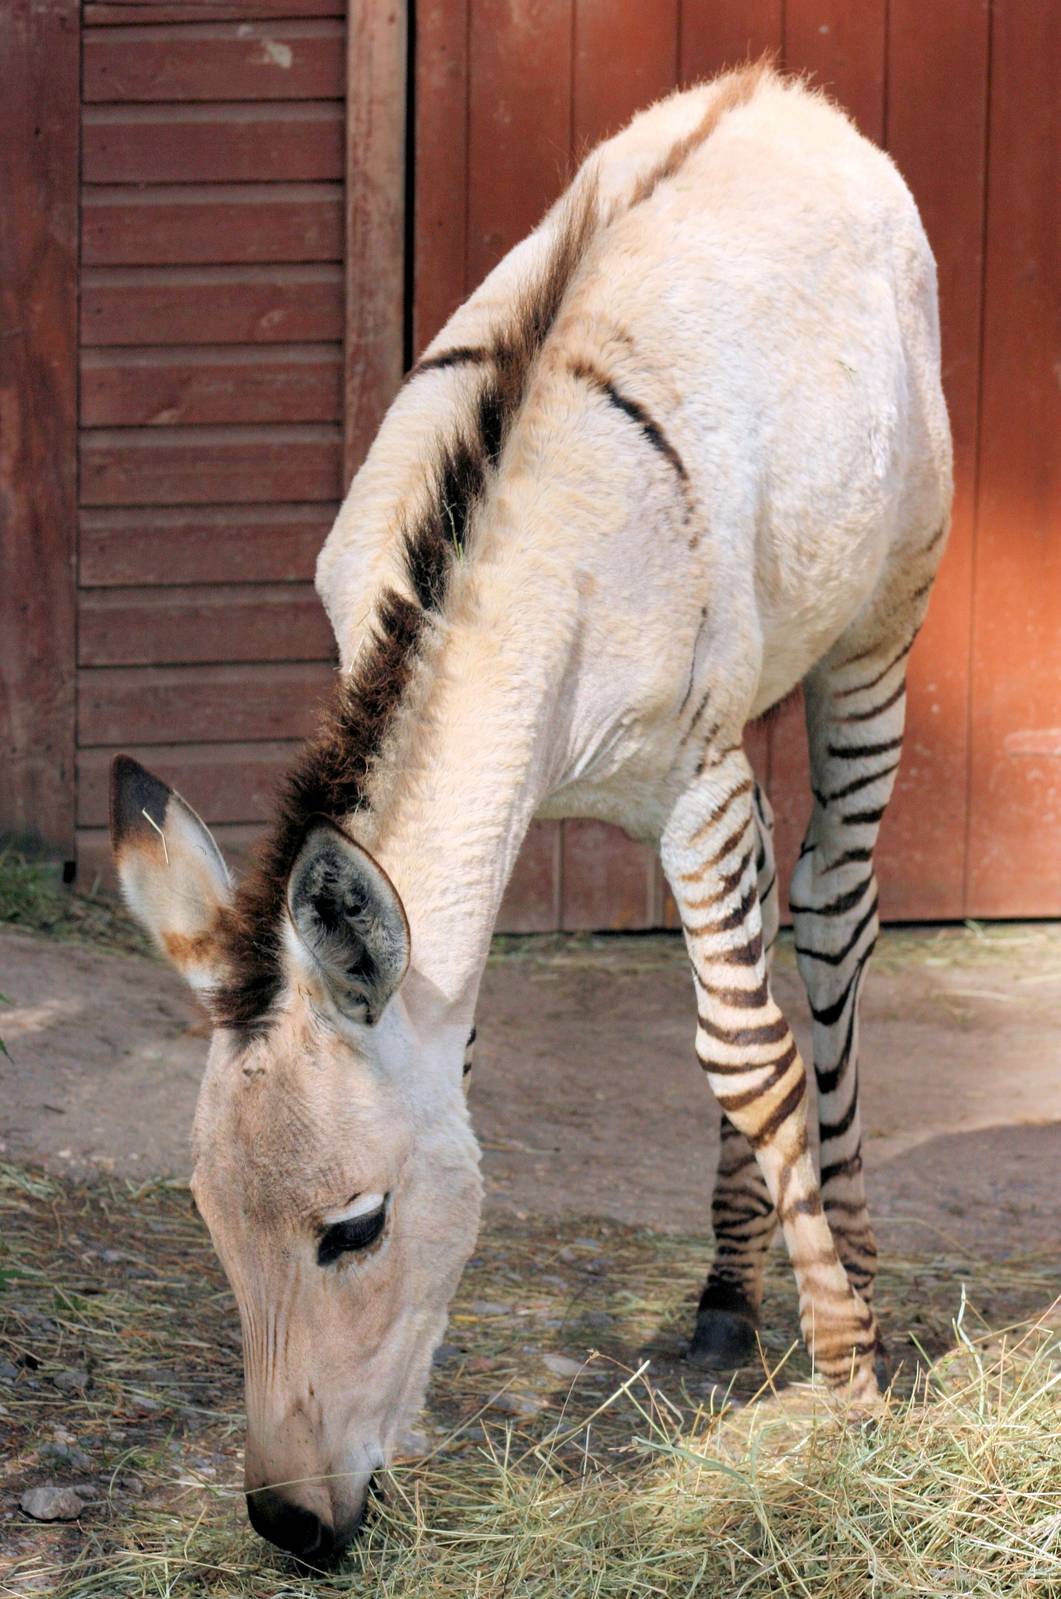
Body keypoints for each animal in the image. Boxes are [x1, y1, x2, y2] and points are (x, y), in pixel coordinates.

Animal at [110, 64, 952, 1560]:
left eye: (353, 1228)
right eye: (206, 1213)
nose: (290, 1527)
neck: (509, 573)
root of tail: (781, 94)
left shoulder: (689, 783)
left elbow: (750, 1056)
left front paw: (852, 1385)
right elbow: (493, 1051)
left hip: (876, 634)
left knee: (828, 930)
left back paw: (845, 1265)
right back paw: (726, 1297)